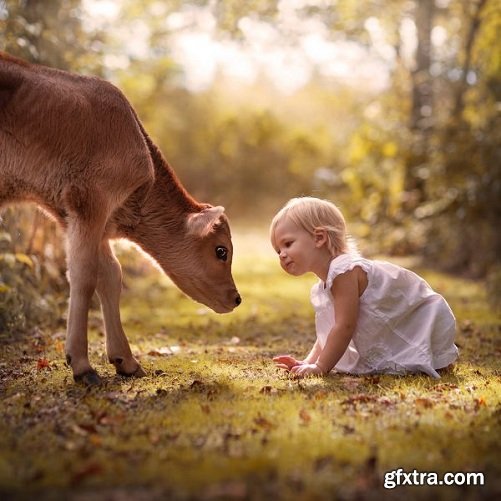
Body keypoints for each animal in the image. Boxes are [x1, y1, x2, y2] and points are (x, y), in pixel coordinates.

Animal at [0, 52, 240, 382]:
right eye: (221, 250)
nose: (237, 298)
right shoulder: (90, 201)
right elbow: (84, 274)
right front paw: (82, 365)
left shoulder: (81, 218)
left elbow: (111, 275)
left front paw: (125, 360)